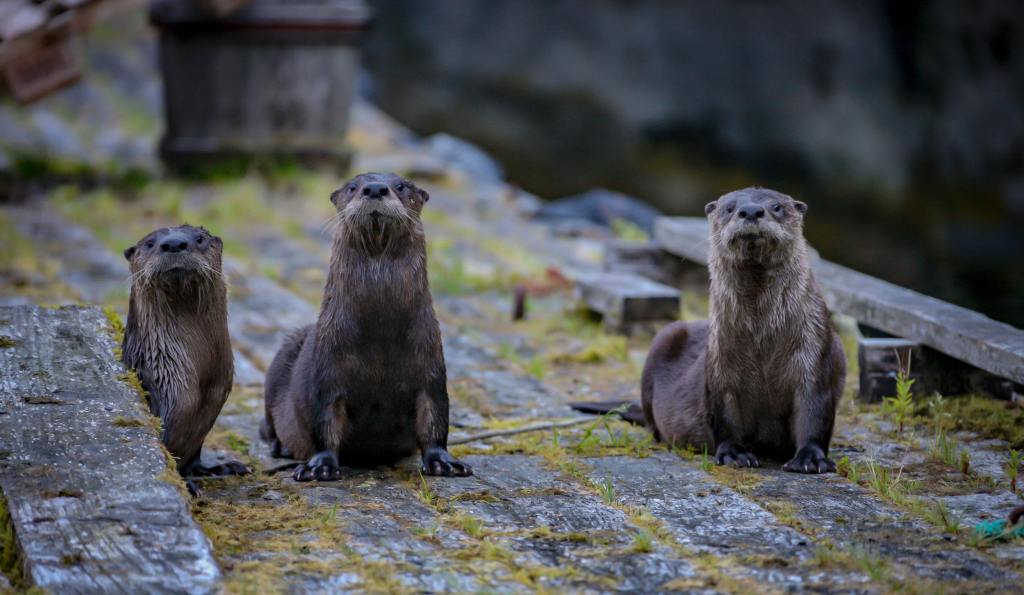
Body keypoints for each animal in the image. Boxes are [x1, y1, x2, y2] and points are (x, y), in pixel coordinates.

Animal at [122, 225, 248, 492]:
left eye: (199, 239)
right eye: (150, 243)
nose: (173, 243)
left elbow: (193, 457)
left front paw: (221, 468)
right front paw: (186, 484)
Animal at [261, 172, 472, 481]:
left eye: (401, 186)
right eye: (352, 187)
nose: (374, 188)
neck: (380, 334)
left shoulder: (431, 364)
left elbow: (435, 416)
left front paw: (442, 461)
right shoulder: (327, 368)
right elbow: (324, 419)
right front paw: (319, 466)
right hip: (279, 362)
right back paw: (282, 447)